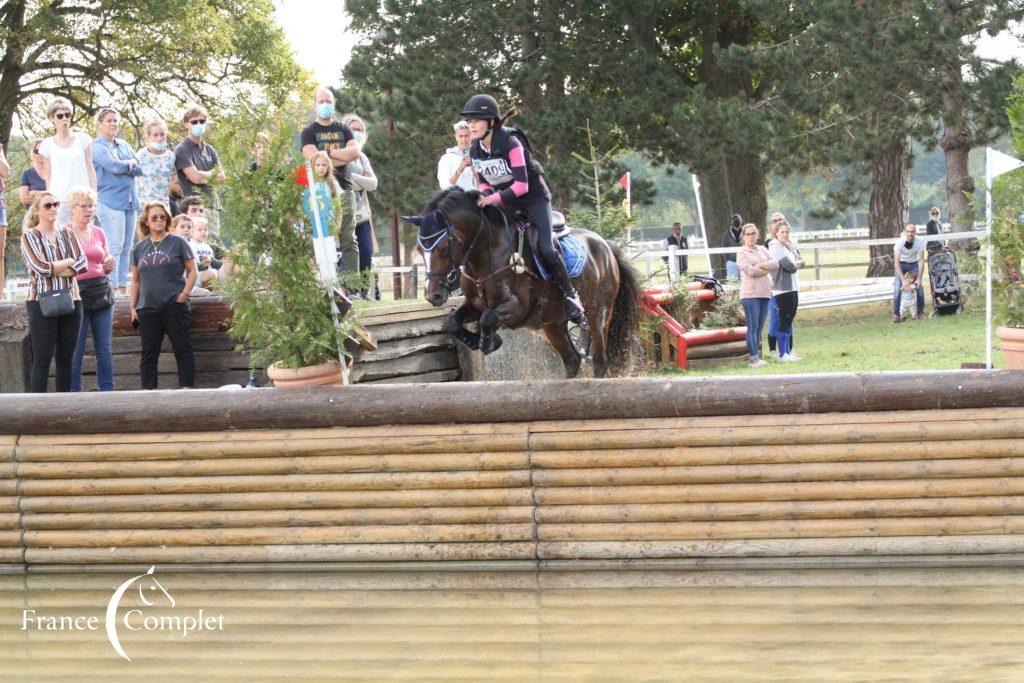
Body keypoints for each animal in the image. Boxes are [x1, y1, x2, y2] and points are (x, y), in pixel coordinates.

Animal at [401, 187, 634, 378]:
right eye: (420, 249)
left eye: (442, 249)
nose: (434, 296)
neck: (485, 254)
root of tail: (605, 245)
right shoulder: (475, 303)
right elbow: (451, 322)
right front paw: (481, 341)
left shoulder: (518, 308)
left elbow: (487, 319)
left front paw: (489, 342)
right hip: (554, 323)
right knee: (571, 360)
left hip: (599, 312)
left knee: (599, 361)